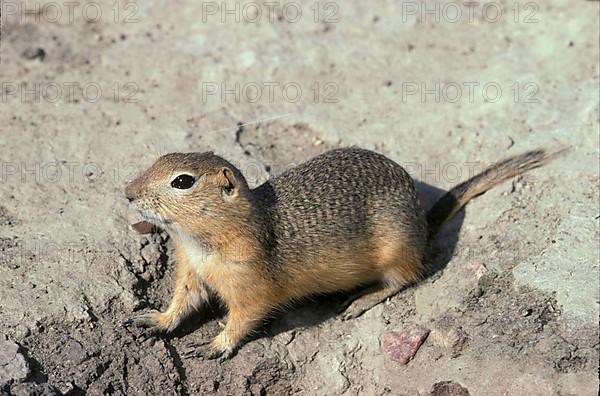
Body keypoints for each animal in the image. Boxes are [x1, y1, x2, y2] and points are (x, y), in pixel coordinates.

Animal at [123, 145, 556, 358]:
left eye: (182, 181)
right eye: (159, 159)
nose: (127, 192)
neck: (202, 242)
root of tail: (423, 223)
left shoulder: (250, 288)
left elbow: (243, 320)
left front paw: (216, 344)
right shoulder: (191, 273)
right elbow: (182, 302)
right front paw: (155, 320)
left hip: (396, 251)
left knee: (406, 278)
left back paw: (360, 300)